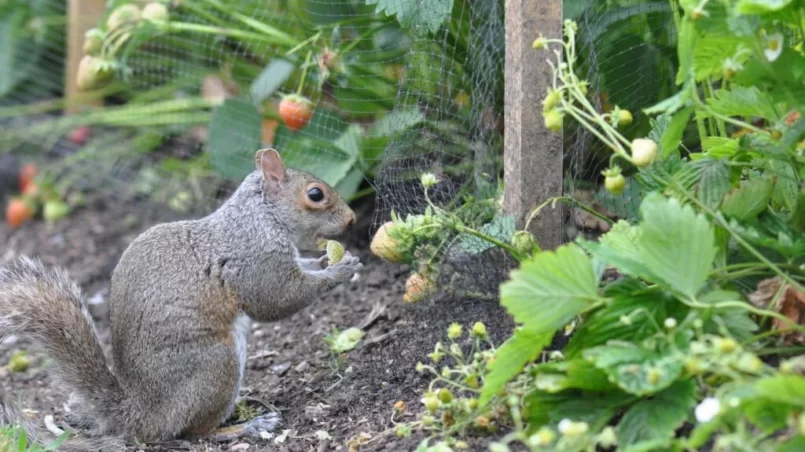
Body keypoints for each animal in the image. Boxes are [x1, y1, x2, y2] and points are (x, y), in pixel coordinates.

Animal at [0, 148, 362, 448]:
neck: (260, 216)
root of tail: (142, 414)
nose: (352, 220)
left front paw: (326, 261)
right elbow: (277, 300)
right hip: (215, 366)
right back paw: (247, 426)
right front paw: (340, 270)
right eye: (315, 194)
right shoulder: (255, 258)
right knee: (195, 431)